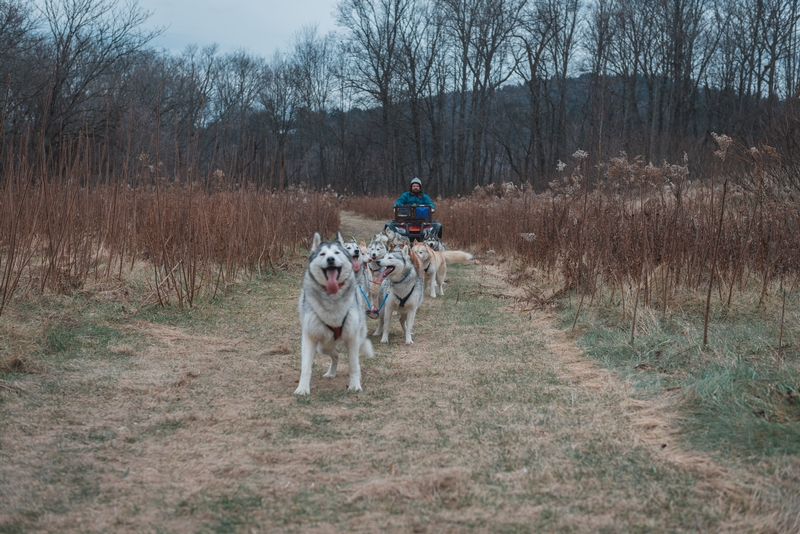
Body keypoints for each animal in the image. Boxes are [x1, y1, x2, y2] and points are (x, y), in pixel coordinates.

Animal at [296, 232, 374, 396]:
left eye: (337, 253)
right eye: (322, 254)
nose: (330, 259)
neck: (332, 297)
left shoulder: (352, 337)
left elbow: (353, 365)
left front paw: (355, 385)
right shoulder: (310, 336)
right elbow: (305, 367)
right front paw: (303, 388)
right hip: (322, 345)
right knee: (335, 353)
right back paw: (331, 371)